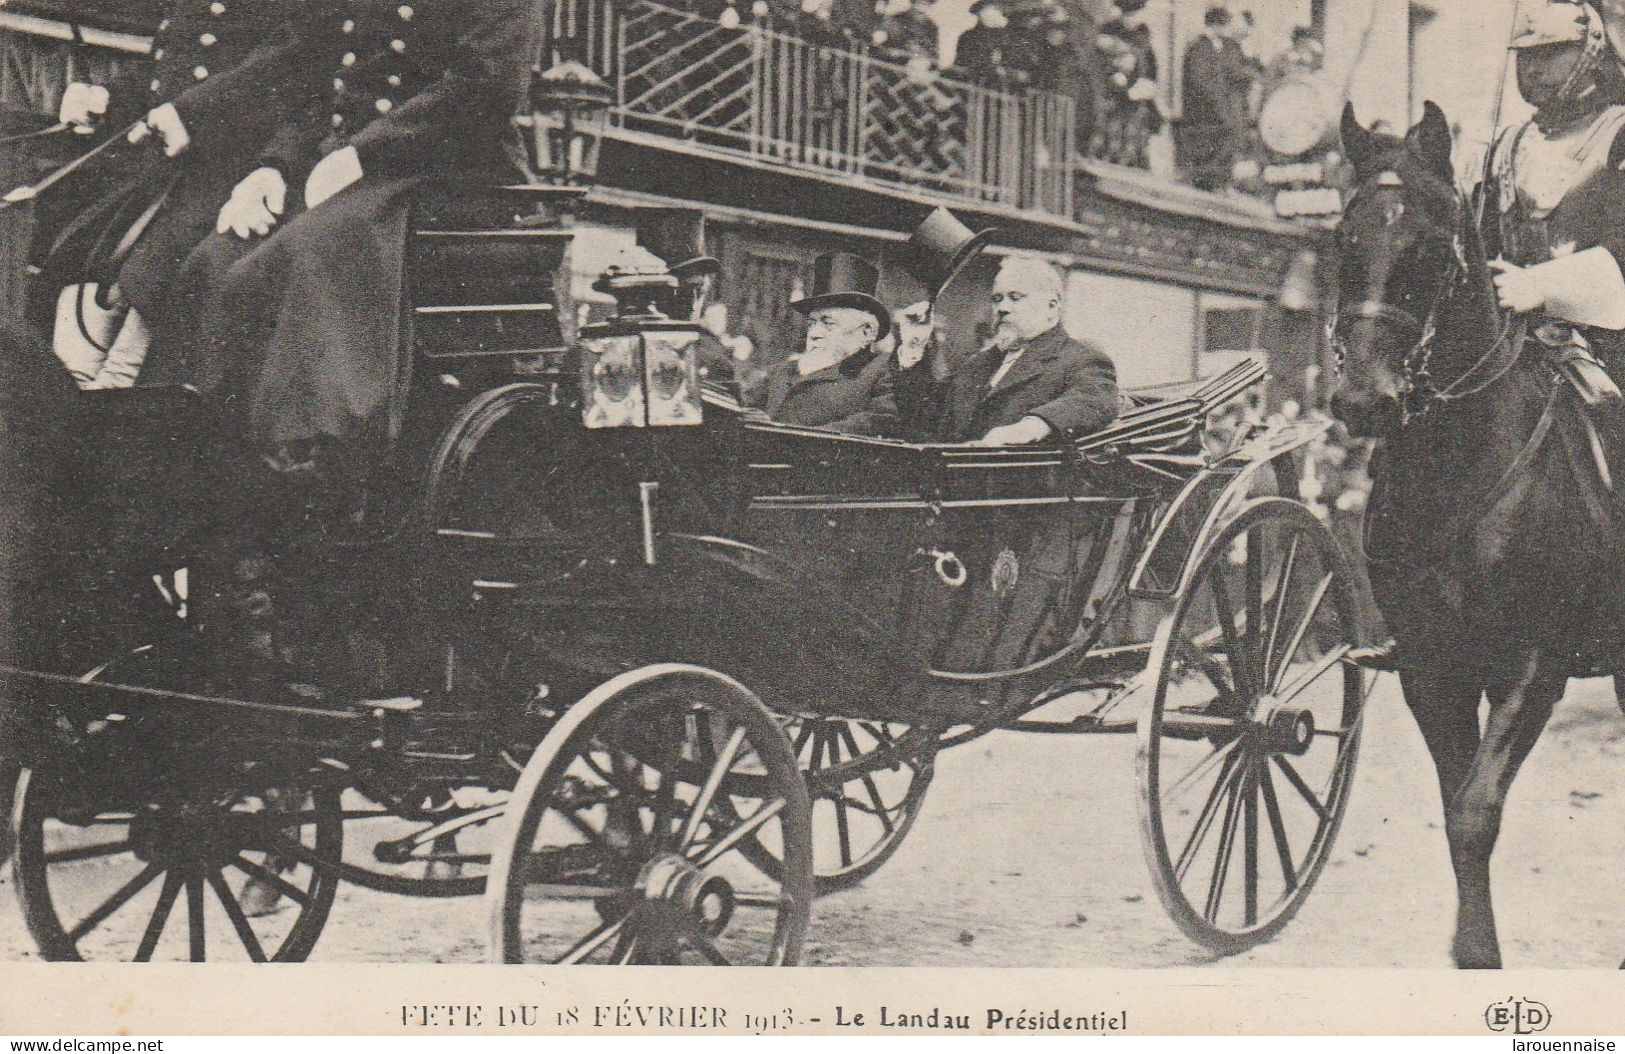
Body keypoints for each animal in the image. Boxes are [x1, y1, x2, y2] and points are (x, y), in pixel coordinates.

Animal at [1332, 102, 1625, 967]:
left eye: (1431, 247)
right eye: (1343, 237)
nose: (1363, 401)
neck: (1456, 472)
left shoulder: (1533, 668)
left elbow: (1473, 812)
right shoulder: (1435, 670)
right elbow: (1456, 806)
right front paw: (1473, 951)